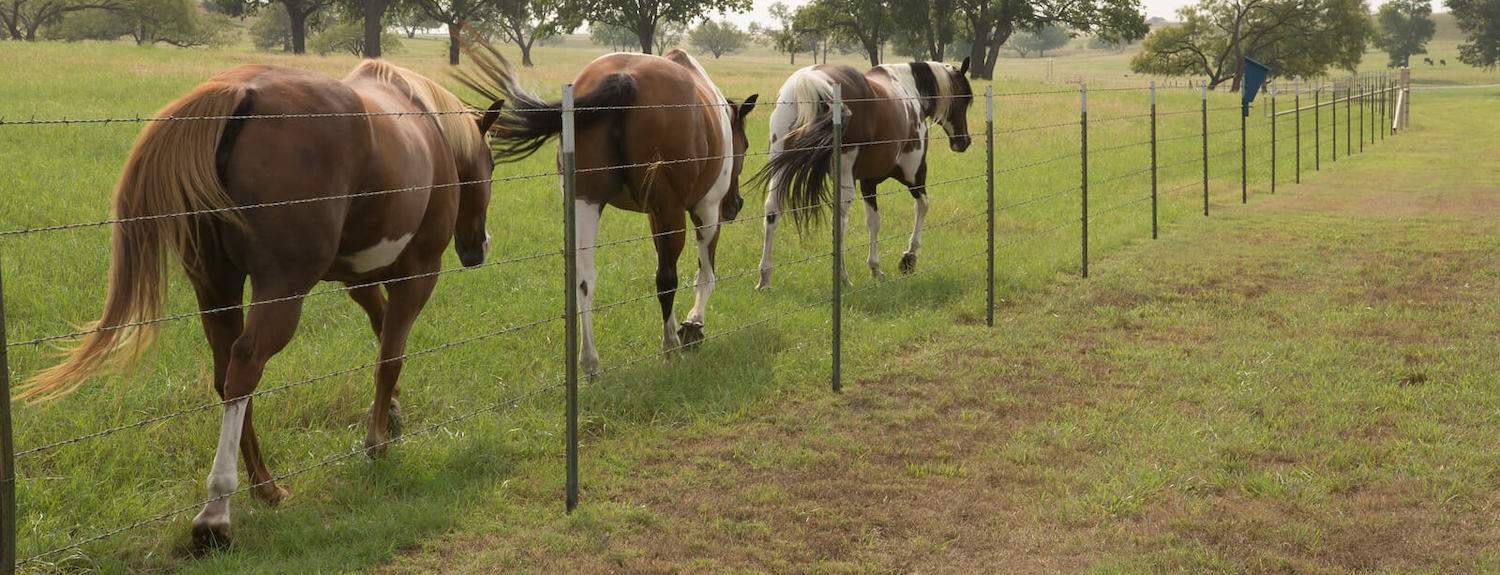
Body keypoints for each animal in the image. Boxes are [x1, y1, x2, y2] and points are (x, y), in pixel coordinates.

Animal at [19, 60, 504, 546]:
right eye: (492, 164)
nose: (477, 247)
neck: (429, 129)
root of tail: (239, 93)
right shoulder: (418, 273)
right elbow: (390, 355)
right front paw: (377, 442)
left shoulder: (357, 276)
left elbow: (382, 330)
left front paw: (392, 413)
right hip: (280, 289)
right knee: (246, 367)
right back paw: (217, 511)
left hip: (216, 288)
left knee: (226, 375)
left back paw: (265, 487)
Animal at [456, 40, 756, 373]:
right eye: (745, 146)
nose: (736, 205)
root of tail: (625, 78)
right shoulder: (705, 210)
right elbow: (705, 273)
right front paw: (693, 324)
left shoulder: (654, 215)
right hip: (672, 210)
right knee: (666, 279)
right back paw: (669, 346)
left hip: (585, 202)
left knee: (584, 281)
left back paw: (589, 361)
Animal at [756, 58, 978, 288]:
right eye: (964, 99)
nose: (963, 141)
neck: (909, 89)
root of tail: (810, 80)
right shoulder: (914, 175)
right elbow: (923, 206)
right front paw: (909, 258)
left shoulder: (868, 182)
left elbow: (873, 222)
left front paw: (875, 268)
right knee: (839, 222)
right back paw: (843, 277)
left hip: (780, 167)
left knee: (772, 211)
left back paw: (765, 278)